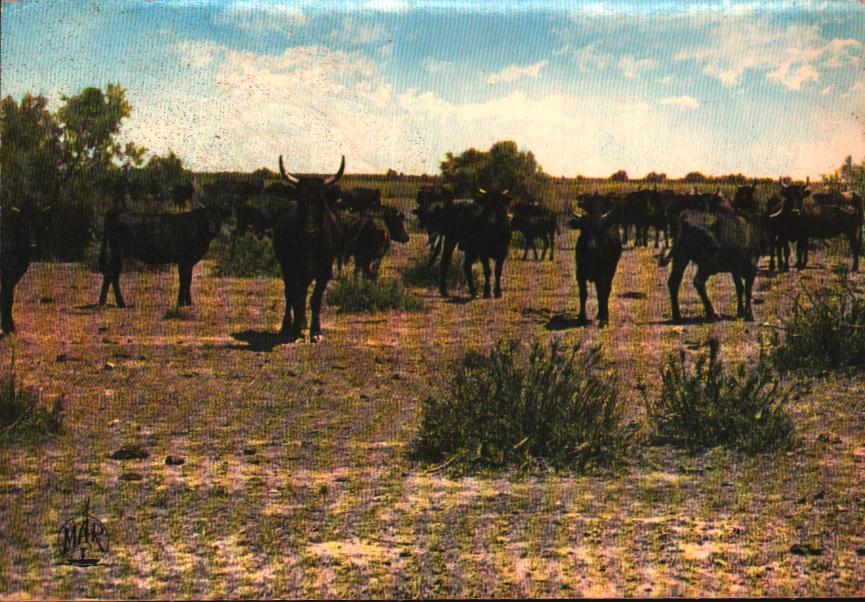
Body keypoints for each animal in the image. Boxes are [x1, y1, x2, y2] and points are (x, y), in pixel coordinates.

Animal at [97, 206, 226, 310]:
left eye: (218, 217)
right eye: (207, 218)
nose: (212, 229)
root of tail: (115, 212)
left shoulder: (189, 261)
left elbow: (187, 281)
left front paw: (188, 303)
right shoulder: (184, 260)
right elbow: (183, 281)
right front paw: (180, 303)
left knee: (109, 274)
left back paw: (103, 302)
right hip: (118, 252)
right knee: (112, 275)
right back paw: (120, 303)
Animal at [276, 155, 346, 340]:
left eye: (322, 203)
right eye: (301, 203)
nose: (310, 232)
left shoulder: (325, 270)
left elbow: (315, 300)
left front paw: (315, 331)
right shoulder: (293, 268)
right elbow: (297, 297)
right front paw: (295, 329)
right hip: (286, 267)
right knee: (290, 294)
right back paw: (289, 325)